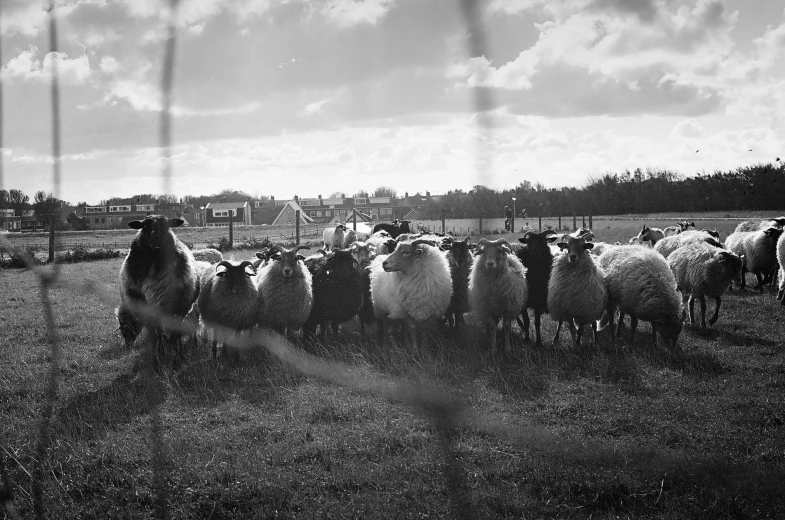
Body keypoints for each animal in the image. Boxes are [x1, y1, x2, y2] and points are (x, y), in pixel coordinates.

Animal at [115, 213, 198, 364]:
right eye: (144, 226)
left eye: (167, 225)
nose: (157, 237)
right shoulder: (145, 310)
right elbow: (154, 337)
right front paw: (156, 360)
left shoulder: (176, 309)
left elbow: (175, 335)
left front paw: (178, 360)